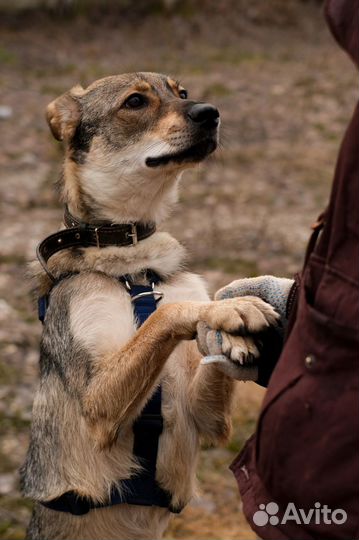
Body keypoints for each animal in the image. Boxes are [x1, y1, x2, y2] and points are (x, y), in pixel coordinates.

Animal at [20, 73, 278, 540]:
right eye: (135, 102)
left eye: (181, 93)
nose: (211, 112)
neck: (135, 267)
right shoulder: (98, 406)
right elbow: (167, 313)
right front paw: (226, 312)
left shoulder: (208, 422)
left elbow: (197, 323)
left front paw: (234, 332)